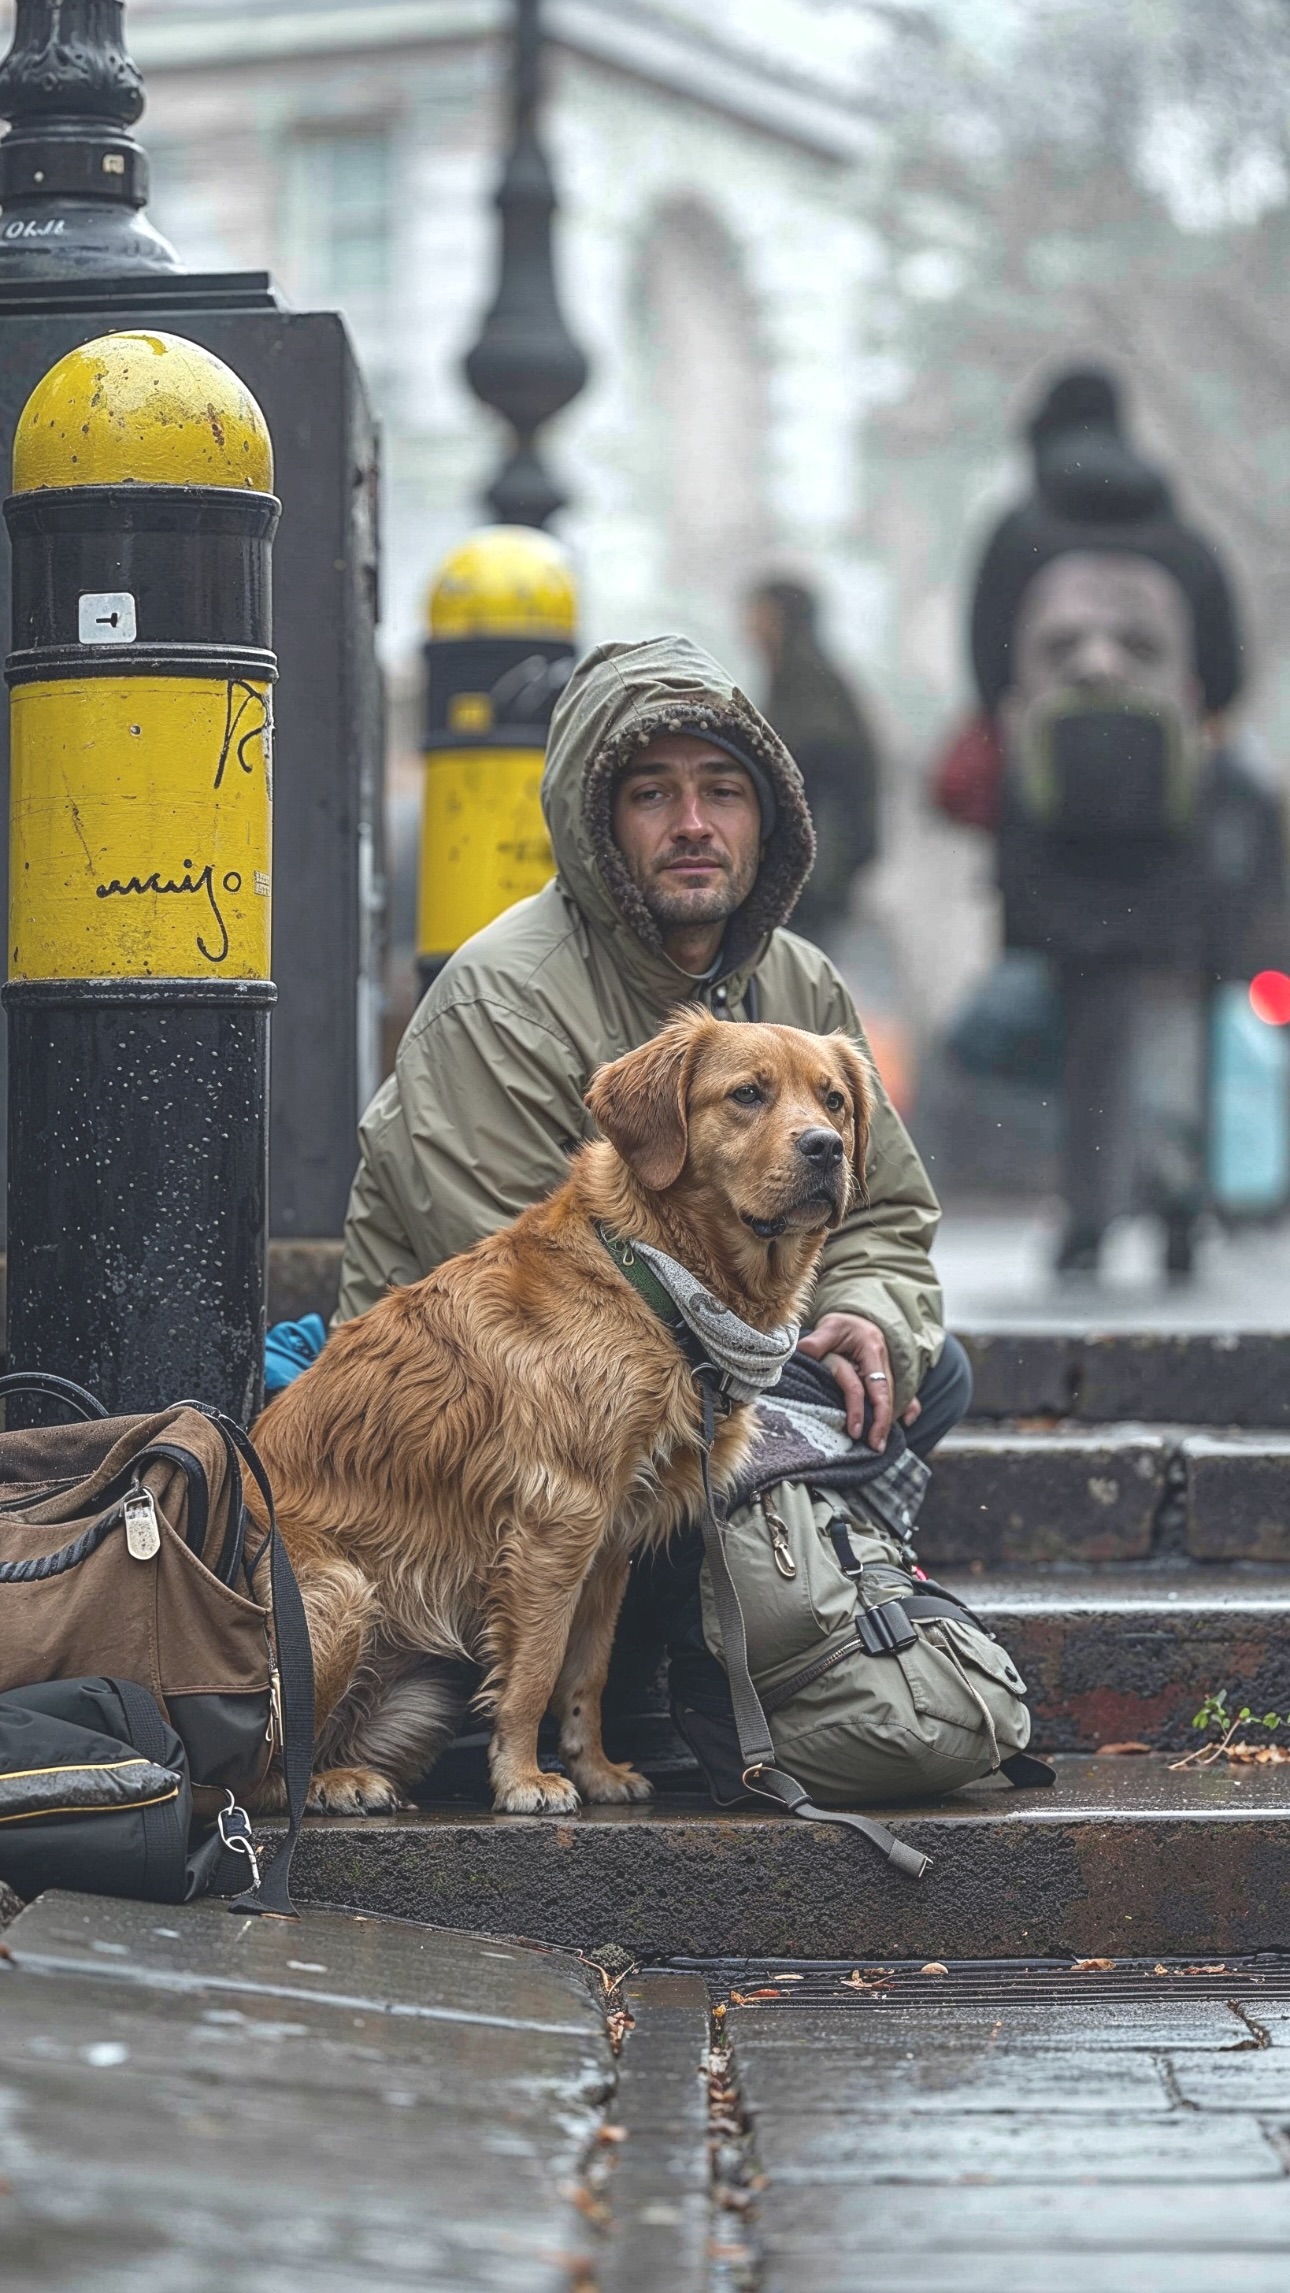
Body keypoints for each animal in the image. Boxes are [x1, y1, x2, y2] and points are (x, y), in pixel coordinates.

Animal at [249, 1013, 879, 1816]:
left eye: (834, 1101)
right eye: (747, 1094)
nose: (826, 1147)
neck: (652, 1277)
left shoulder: (611, 1539)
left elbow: (586, 1672)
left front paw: (596, 1770)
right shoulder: (559, 1517)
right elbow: (535, 1668)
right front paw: (523, 1778)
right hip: (339, 1593)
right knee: (257, 1767)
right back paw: (335, 1784)